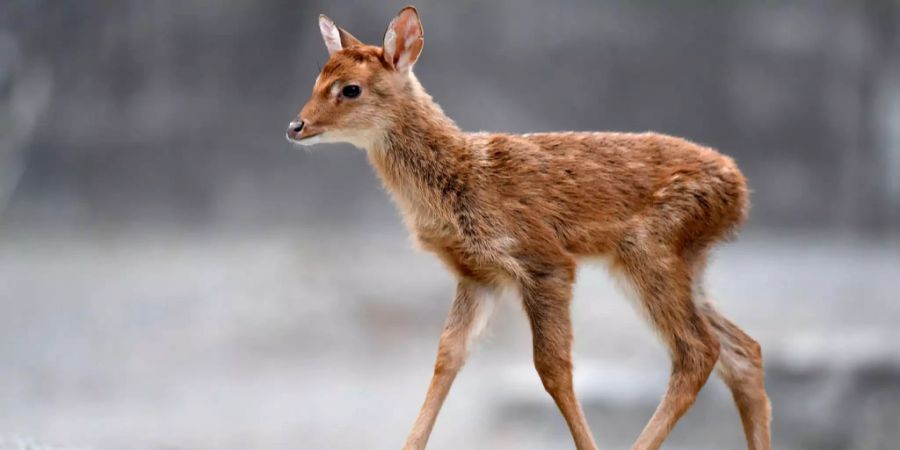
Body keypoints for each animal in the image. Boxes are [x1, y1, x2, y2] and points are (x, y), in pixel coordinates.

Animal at [286, 7, 772, 450]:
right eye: (316, 80)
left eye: (350, 89)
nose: (295, 126)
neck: (462, 179)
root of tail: (740, 188)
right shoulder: (477, 274)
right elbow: (447, 356)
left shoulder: (544, 260)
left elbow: (552, 368)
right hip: (685, 262)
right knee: (743, 350)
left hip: (650, 248)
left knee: (698, 351)